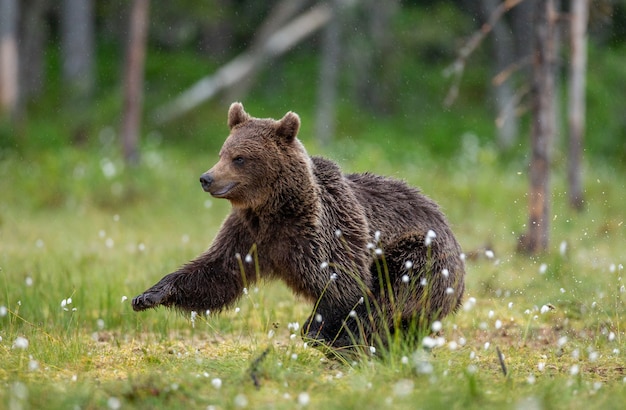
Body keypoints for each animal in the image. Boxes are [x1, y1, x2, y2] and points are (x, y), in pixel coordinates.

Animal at [132, 101, 464, 352]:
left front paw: (317, 331)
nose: (206, 178)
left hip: (422, 251)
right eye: (221, 153)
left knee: (395, 291)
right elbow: (217, 272)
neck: (273, 209)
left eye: (239, 158)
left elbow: (343, 282)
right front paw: (148, 295)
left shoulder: (321, 232)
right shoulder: (248, 234)